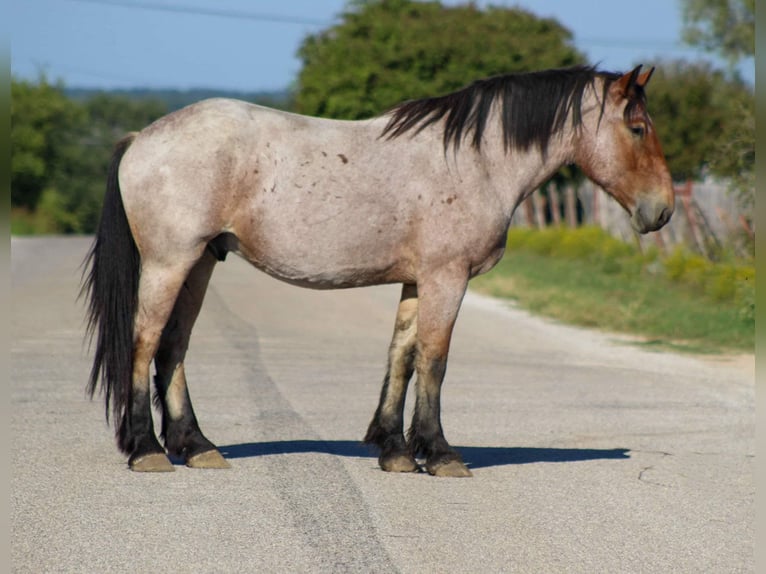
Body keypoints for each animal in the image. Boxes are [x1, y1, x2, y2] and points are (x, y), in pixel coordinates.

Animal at [83, 64, 673, 477]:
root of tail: (141, 138)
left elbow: (401, 357)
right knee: (144, 342)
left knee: (173, 347)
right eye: (638, 128)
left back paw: (196, 447)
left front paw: (394, 450)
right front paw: (439, 454)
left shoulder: (416, 281)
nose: (662, 210)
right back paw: (147, 450)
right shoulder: (446, 278)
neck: (475, 160)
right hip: (170, 262)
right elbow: (434, 359)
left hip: (201, 262)